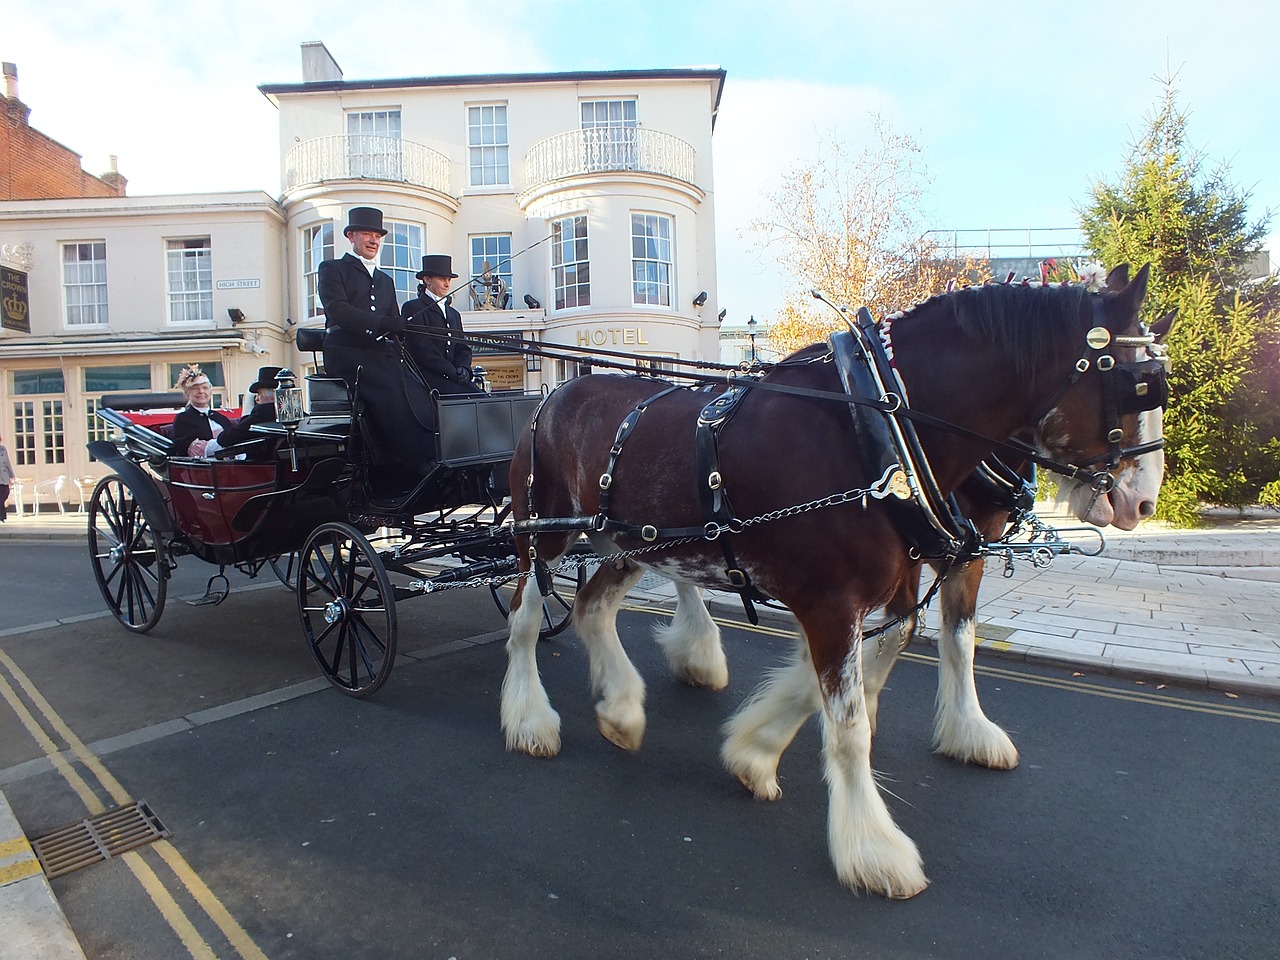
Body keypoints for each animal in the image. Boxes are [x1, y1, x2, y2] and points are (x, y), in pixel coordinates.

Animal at [499, 264, 1172, 901]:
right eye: (1140, 386)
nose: (1142, 502)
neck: (878, 429)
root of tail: (558, 390)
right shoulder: (830, 602)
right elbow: (849, 728)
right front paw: (873, 849)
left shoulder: (891, 583)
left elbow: (899, 654)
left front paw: (755, 750)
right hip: (544, 532)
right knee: (526, 619)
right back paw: (531, 718)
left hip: (634, 541)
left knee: (592, 607)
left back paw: (622, 709)